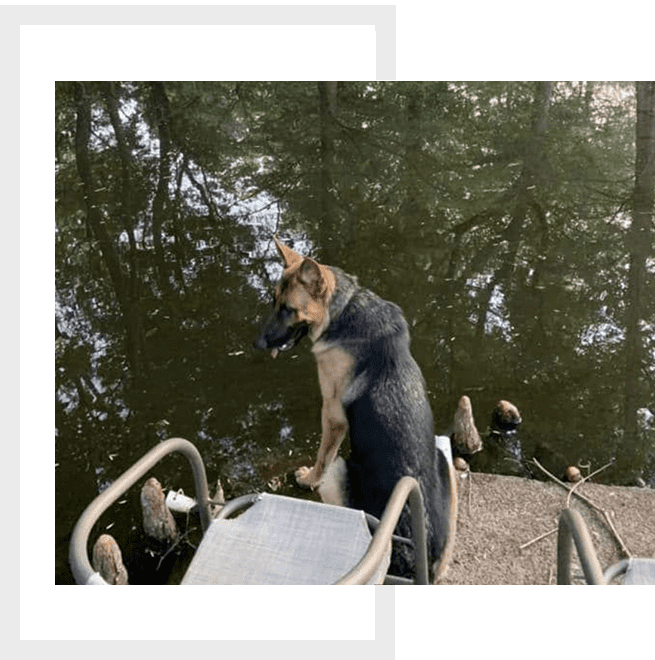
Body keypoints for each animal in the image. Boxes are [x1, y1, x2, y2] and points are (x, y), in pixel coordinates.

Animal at [254, 238, 458, 584]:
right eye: (273, 302)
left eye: (288, 310)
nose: (258, 343)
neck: (344, 308)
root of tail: (417, 555)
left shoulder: (332, 415)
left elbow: (322, 455)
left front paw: (307, 478)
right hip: (444, 460)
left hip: (340, 471)